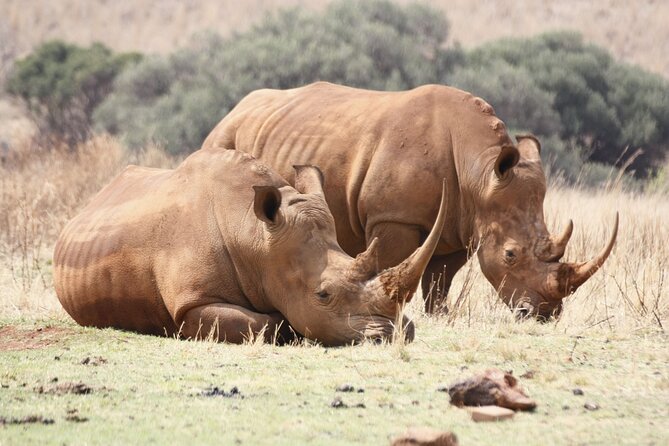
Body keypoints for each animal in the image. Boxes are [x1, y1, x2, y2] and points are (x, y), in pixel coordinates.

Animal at [53, 149, 446, 346]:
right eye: (322, 295)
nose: (391, 335)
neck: (255, 238)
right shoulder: (192, 303)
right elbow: (263, 323)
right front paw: (289, 328)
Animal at [202, 82, 618, 319]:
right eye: (511, 255)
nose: (544, 314)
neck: (479, 170)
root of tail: (235, 109)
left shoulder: (461, 223)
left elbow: (441, 278)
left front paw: (441, 316)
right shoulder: (394, 217)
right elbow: (392, 262)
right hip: (224, 136)